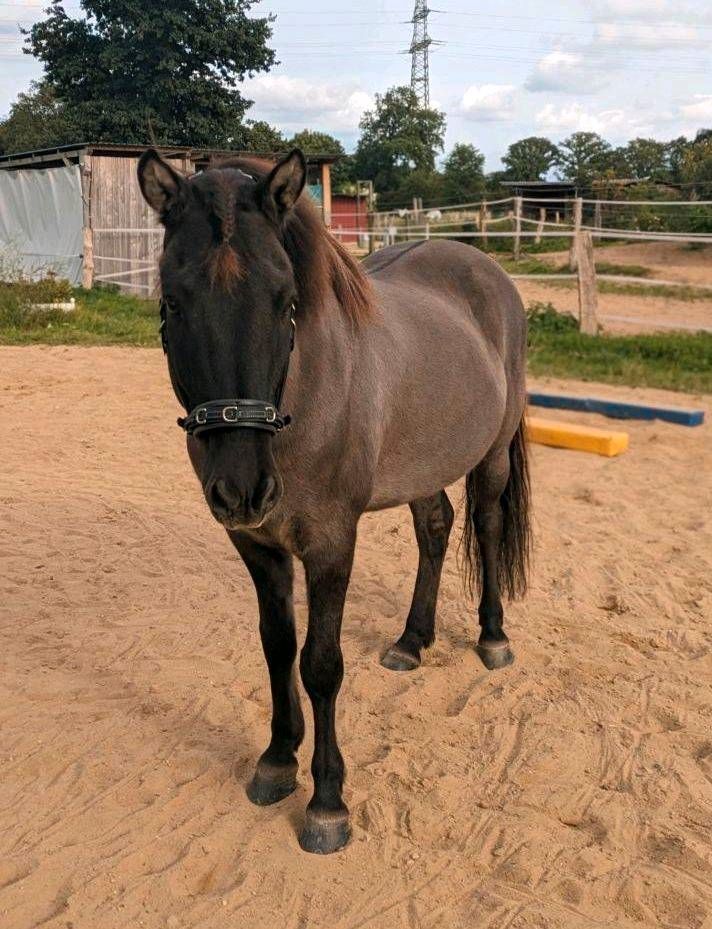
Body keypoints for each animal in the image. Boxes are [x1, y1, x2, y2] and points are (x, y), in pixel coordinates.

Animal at [138, 147, 528, 856]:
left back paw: (492, 637)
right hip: (421, 467)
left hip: (490, 457)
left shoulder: (329, 543)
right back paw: (411, 640)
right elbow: (276, 648)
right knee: (436, 529)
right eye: (173, 302)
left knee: (484, 527)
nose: (243, 488)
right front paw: (276, 760)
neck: (303, 396)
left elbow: (320, 664)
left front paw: (326, 801)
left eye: (286, 300)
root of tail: (485, 269)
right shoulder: (258, 545)